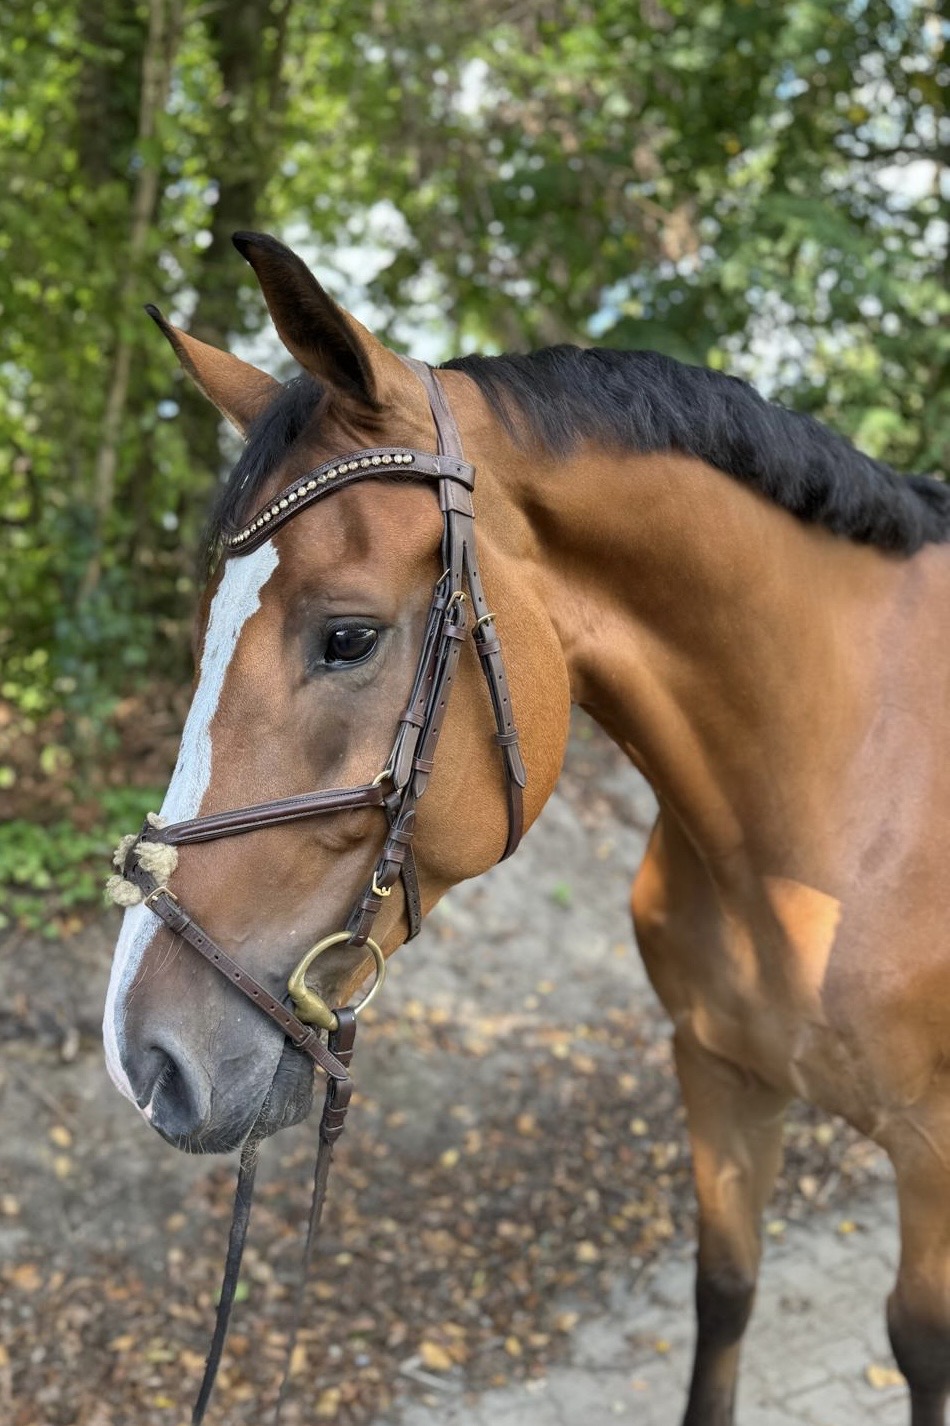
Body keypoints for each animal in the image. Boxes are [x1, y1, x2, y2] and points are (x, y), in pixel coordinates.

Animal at [103, 231, 950, 1426]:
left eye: (347, 636)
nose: (143, 1060)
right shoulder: (720, 1076)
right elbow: (724, 1290)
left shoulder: (933, 1151)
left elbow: (920, 1344)